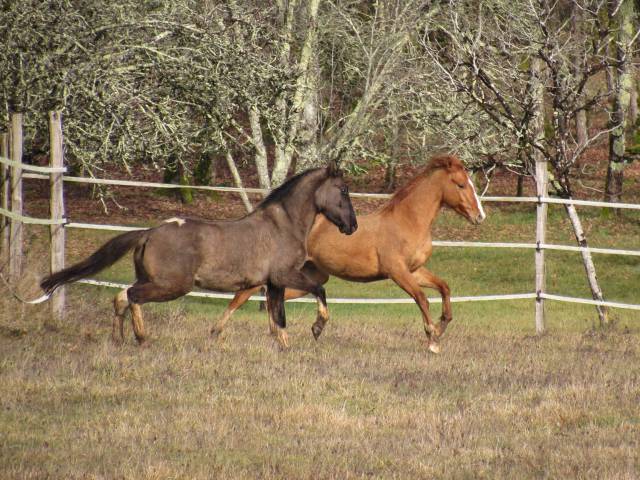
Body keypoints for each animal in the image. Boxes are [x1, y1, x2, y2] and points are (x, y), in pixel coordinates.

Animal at [39, 164, 358, 347]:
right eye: (342, 189)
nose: (352, 226)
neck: (284, 225)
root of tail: (148, 232)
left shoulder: (273, 283)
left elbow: (278, 317)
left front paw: (284, 346)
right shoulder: (285, 275)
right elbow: (318, 290)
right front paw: (317, 328)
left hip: (153, 279)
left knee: (121, 297)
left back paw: (119, 339)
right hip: (172, 285)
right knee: (130, 296)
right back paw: (141, 338)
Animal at [212, 154, 485, 353]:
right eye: (461, 184)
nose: (479, 216)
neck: (407, 222)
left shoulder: (415, 270)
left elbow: (444, 288)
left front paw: (442, 326)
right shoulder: (397, 272)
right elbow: (422, 298)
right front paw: (432, 339)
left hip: (312, 275)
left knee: (275, 297)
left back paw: (291, 331)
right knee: (243, 296)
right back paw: (218, 333)